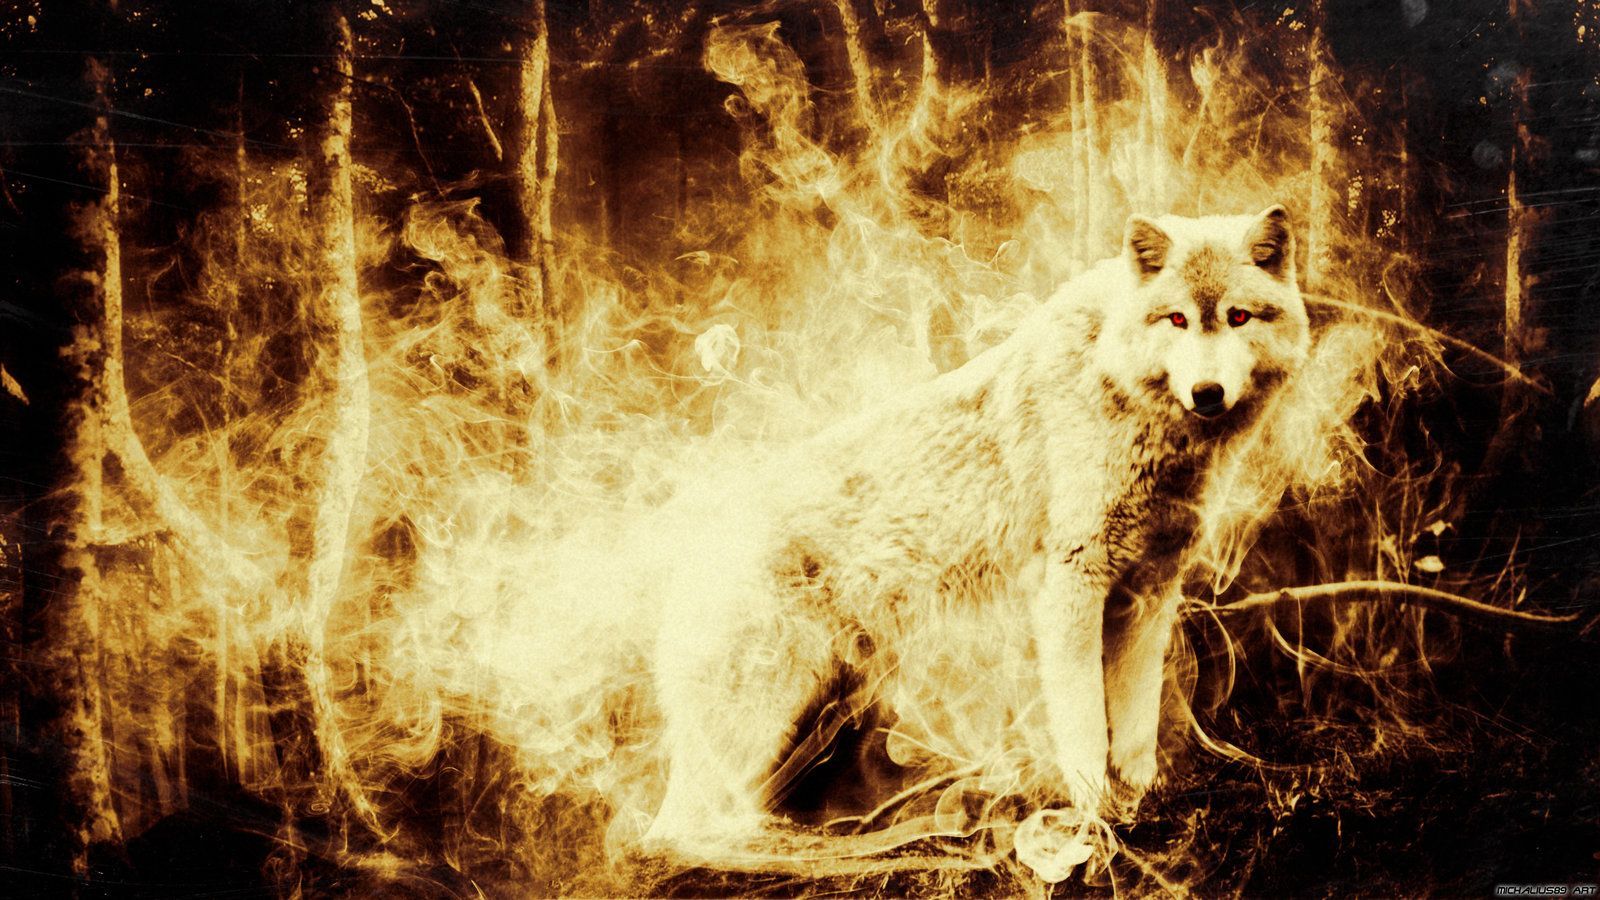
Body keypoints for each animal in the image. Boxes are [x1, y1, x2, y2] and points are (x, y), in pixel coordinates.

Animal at [642, 206, 1310, 858]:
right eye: (1176, 318)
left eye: (1237, 316)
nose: (1207, 392)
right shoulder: (1071, 589)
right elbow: (1085, 728)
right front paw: (1093, 817)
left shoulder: (1148, 596)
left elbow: (1136, 725)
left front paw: (1140, 801)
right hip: (756, 719)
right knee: (673, 829)